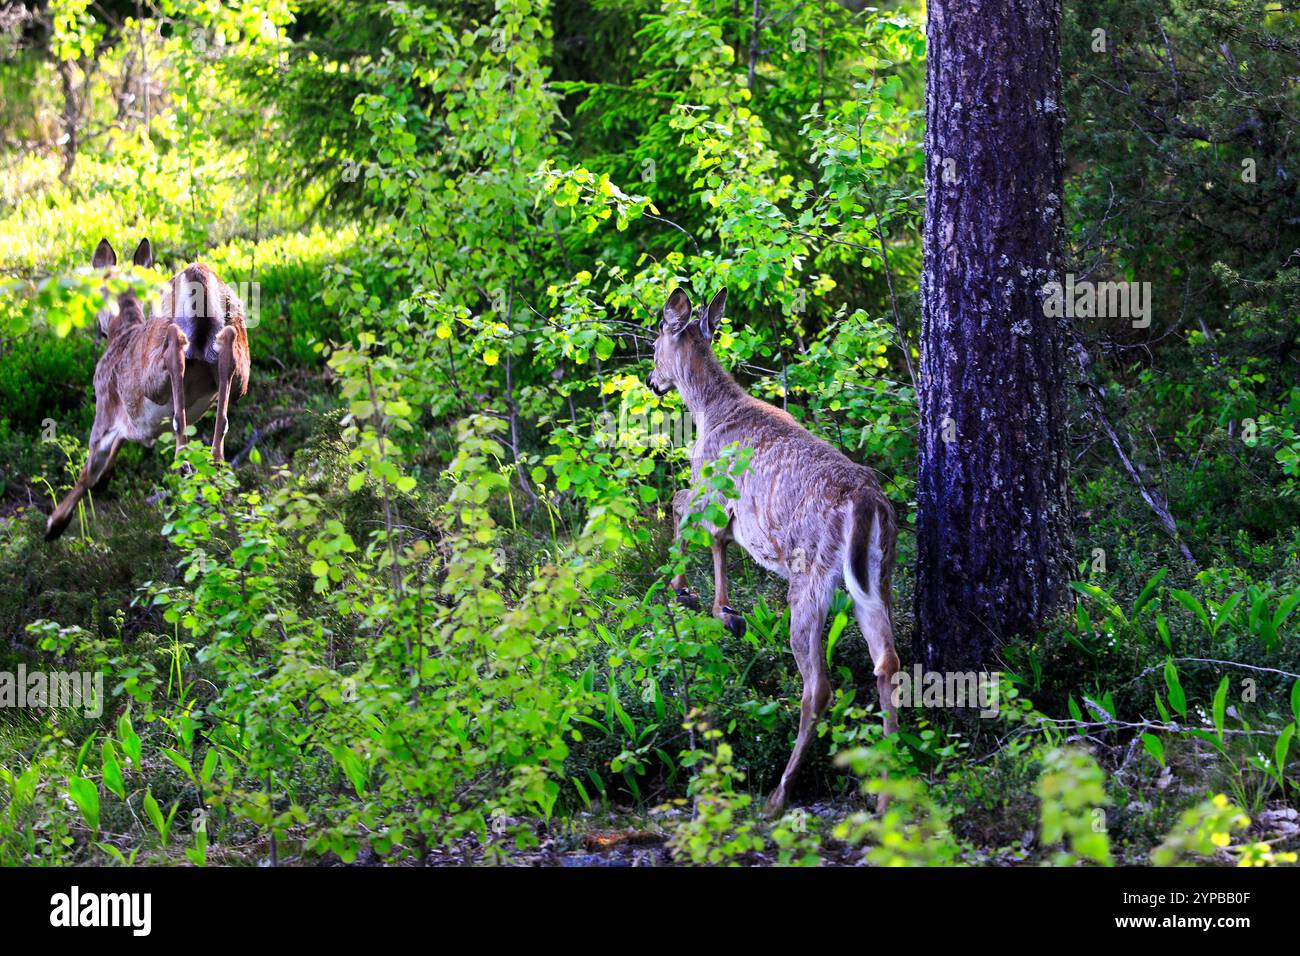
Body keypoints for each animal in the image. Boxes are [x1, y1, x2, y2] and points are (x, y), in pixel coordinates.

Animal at [45, 238, 250, 541]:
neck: (123, 332)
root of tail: (197, 272)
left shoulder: (104, 405)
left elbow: (88, 470)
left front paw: (54, 524)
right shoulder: (132, 422)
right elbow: (116, 446)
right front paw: (104, 480)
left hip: (155, 362)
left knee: (176, 345)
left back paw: (184, 458)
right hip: (239, 358)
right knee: (227, 356)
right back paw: (214, 464)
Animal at [647, 286, 899, 816]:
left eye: (655, 341)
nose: (652, 380)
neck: (711, 413)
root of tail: (868, 502)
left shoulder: (711, 488)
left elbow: (685, 513)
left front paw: (693, 596)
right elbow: (716, 538)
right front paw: (722, 609)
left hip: (810, 575)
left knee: (818, 686)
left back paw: (779, 795)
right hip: (877, 578)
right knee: (888, 663)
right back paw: (888, 794)